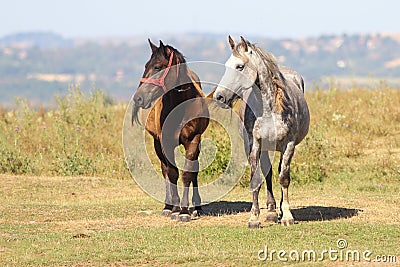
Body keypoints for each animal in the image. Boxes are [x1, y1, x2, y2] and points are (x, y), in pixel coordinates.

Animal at [134, 39, 211, 223]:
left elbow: (188, 173)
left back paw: (196, 207)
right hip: (156, 143)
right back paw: (168, 206)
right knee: (165, 171)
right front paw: (176, 209)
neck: (181, 104)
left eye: (157, 67)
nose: (138, 98)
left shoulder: (194, 140)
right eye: (146, 65)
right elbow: (172, 172)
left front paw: (185, 211)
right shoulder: (166, 142)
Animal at [212, 36, 310, 228]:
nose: (219, 97)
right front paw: (254, 218)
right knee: (268, 172)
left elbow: (284, 177)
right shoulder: (255, 144)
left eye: (240, 66)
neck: (269, 109)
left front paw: (287, 216)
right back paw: (271, 211)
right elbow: (256, 179)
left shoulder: (289, 144)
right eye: (227, 65)